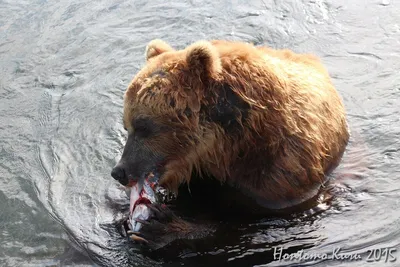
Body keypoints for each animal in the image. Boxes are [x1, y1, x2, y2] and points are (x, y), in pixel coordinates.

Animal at [111, 38, 348, 250]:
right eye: (126, 125)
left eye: (143, 126)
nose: (119, 172)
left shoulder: (281, 174)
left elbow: (248, 228)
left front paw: (163, 225)